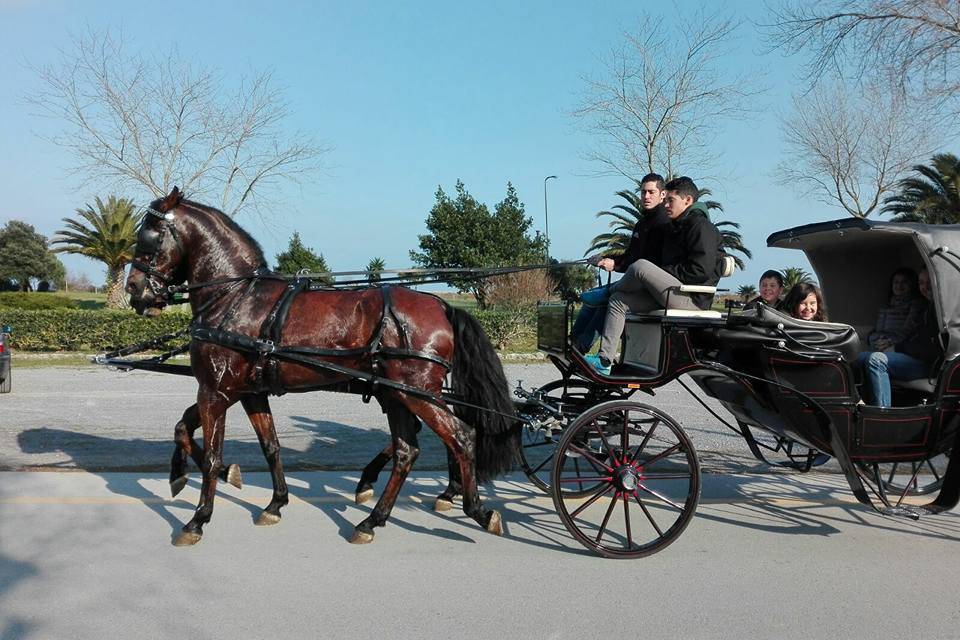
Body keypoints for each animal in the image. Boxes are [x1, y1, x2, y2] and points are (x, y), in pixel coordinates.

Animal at [127, 188, 520, 548]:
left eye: (148, 236)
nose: (133, 289)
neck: (236, 296)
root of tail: (442, 306)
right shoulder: (245, 391)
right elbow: (259, 444)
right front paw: (268, 499)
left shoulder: (215, 390)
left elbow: (210, 455)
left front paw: (198, 517)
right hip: (397, 394)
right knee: (407, 451)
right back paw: (372, 520)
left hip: (418, 393)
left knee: (461, 437)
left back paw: (477, 510)